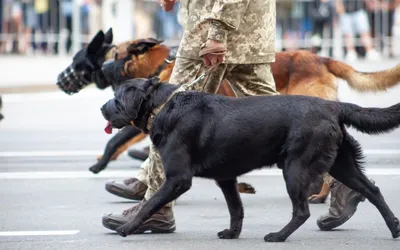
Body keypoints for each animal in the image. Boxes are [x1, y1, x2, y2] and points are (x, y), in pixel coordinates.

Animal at [100, 76, 400, 242]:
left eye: (116, 98)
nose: (102, 108)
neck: (164, 106)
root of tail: (333, 105)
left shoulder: (177, 179)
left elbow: (150, 203)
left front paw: (127, 228)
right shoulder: (226, 178)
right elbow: (236, 209)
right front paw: (232, 234)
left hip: (295, 167)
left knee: (302, 211)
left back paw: (278, 236)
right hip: (342, 164)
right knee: (373, 190)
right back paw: (394, 228)